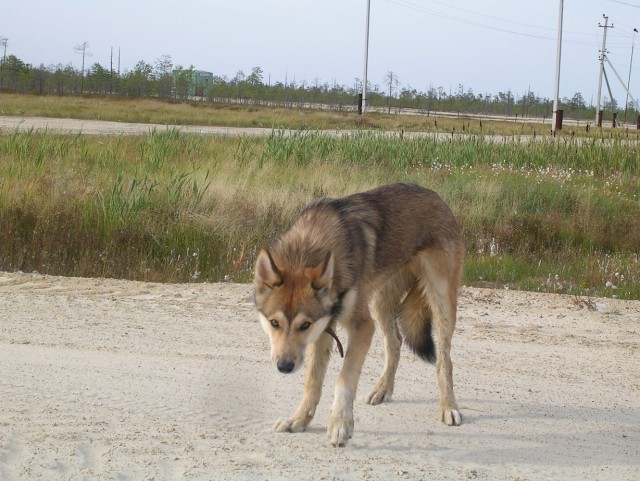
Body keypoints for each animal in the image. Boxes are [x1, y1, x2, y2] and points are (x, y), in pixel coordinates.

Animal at [254, 183, 464, 446]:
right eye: (274, 322)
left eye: (304, 325)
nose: (284, 366)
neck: (311, 245)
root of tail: (436, 197)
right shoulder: (325, 330)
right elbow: (312, 382)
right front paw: (299, 420)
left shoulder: (361, 326)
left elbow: (344, 378)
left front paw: (340, 424)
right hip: (381, 304)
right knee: (395, 343)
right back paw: (382, 389)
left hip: (441, 302)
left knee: (444, 360)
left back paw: (449, 406)